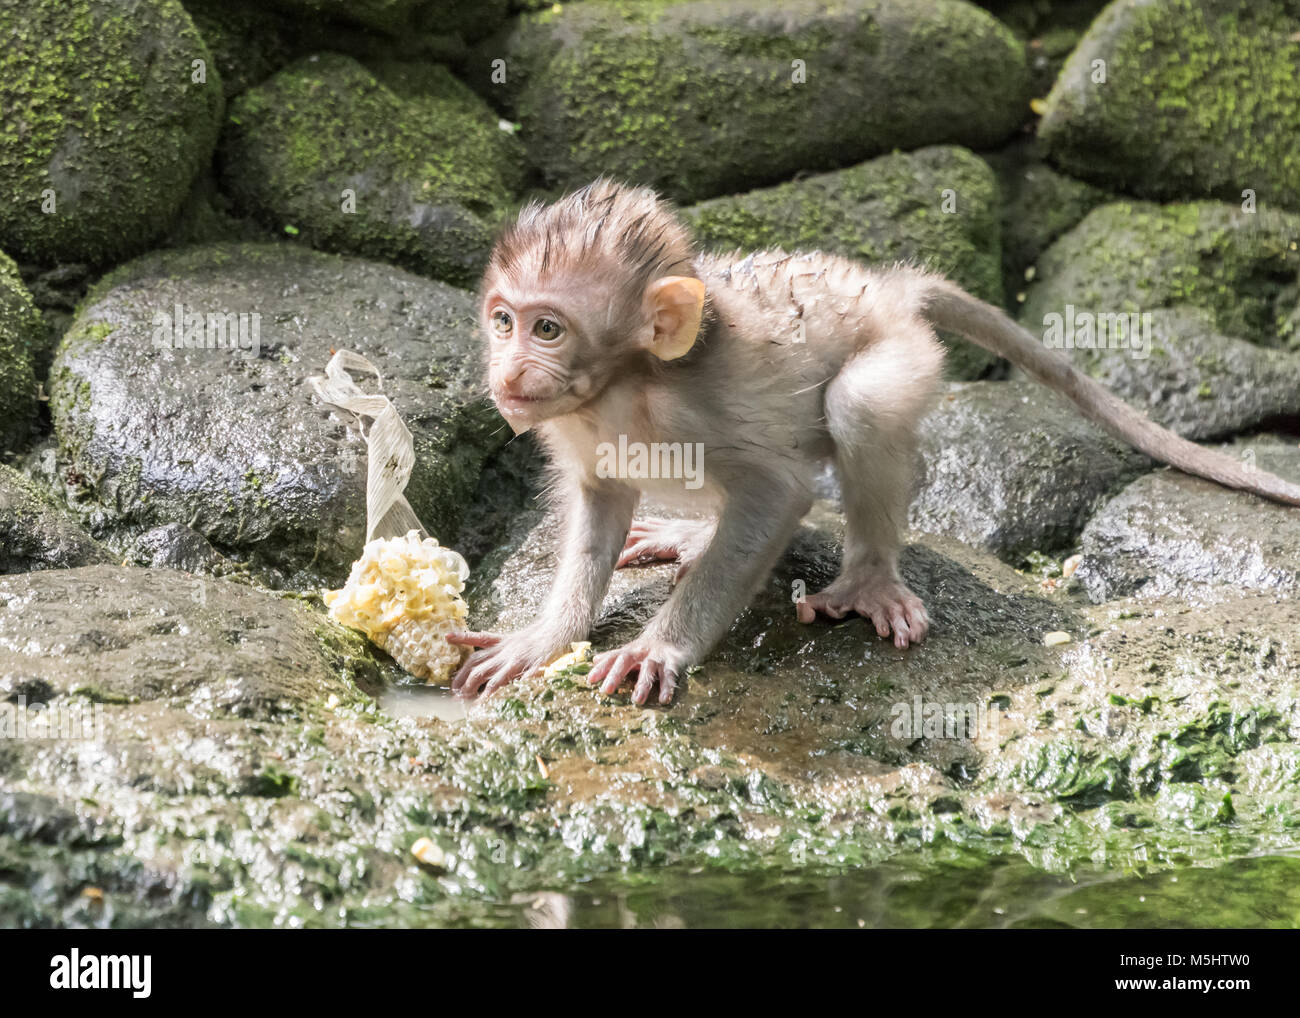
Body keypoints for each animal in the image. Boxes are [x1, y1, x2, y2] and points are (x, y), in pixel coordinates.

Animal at [447, 179, 1300, 707]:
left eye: (548, 328)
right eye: (503, 319)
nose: (508, 371)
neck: (624, 385)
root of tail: (887, 289)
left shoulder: (692, 410)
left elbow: (779, 493)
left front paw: (662, 649)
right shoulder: (579, 429)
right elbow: (598, 501)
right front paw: (544, 638)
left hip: (903, 353)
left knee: (859, 406)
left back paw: (868, 581)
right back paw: (695, 533)